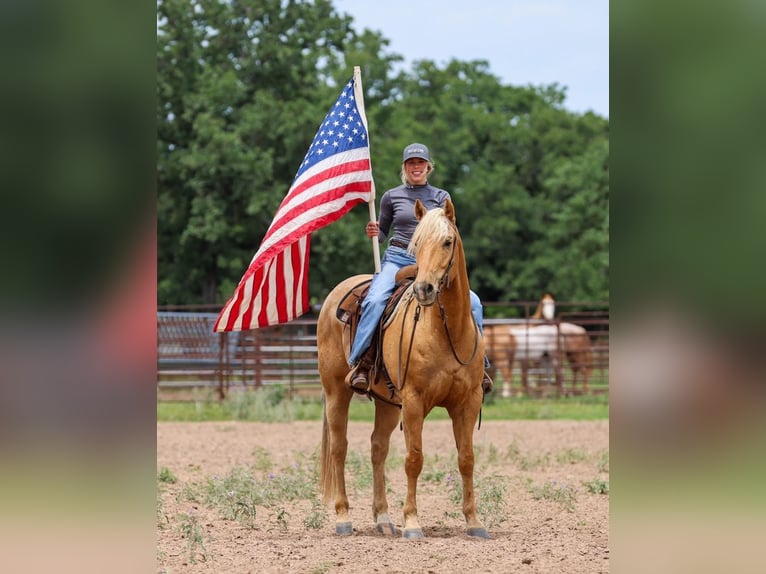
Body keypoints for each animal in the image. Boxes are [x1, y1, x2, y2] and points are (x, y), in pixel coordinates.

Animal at [316, 198, 489, 539]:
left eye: (447, 241)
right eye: (417, 244)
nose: (424, 289)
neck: (447, 332)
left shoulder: (468, 401)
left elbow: (466, 459)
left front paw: (474, 522)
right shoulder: (413, 401)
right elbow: (414, 459)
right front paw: (412, 522)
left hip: (386, 402)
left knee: (377, 449)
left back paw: (383, 519)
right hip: (336, 392)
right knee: (340, 449)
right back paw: (343, 518)